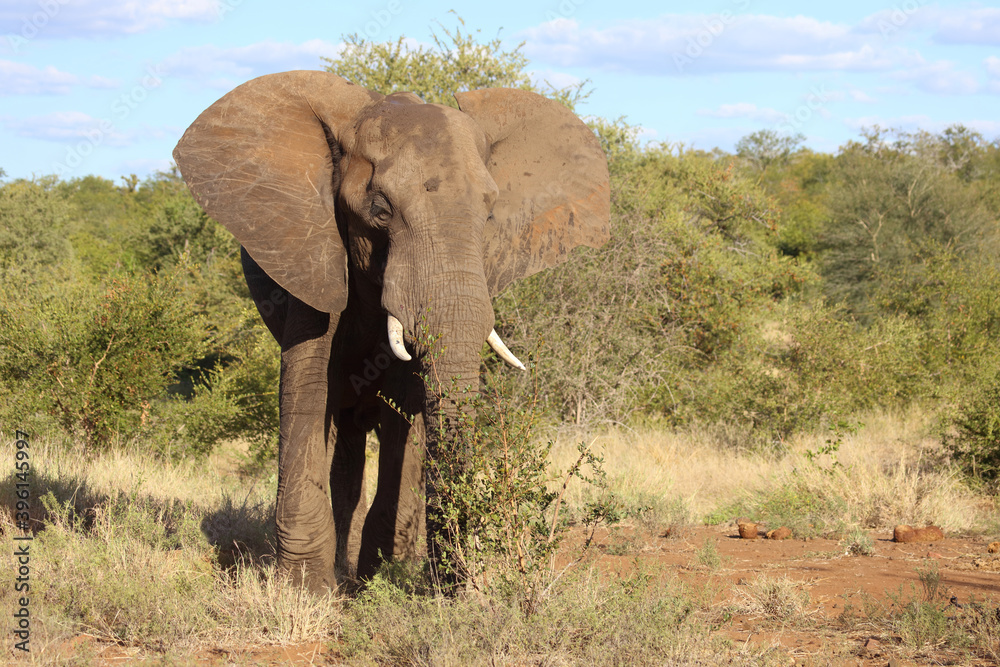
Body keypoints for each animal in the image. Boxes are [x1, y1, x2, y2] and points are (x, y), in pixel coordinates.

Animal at [173, 70, 609, 590]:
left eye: (488, 215)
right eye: (380, 209)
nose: (455, 587)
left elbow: (406, 402)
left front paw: (384, 578)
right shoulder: (312, 249)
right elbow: (306, 384)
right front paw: (305, 591)